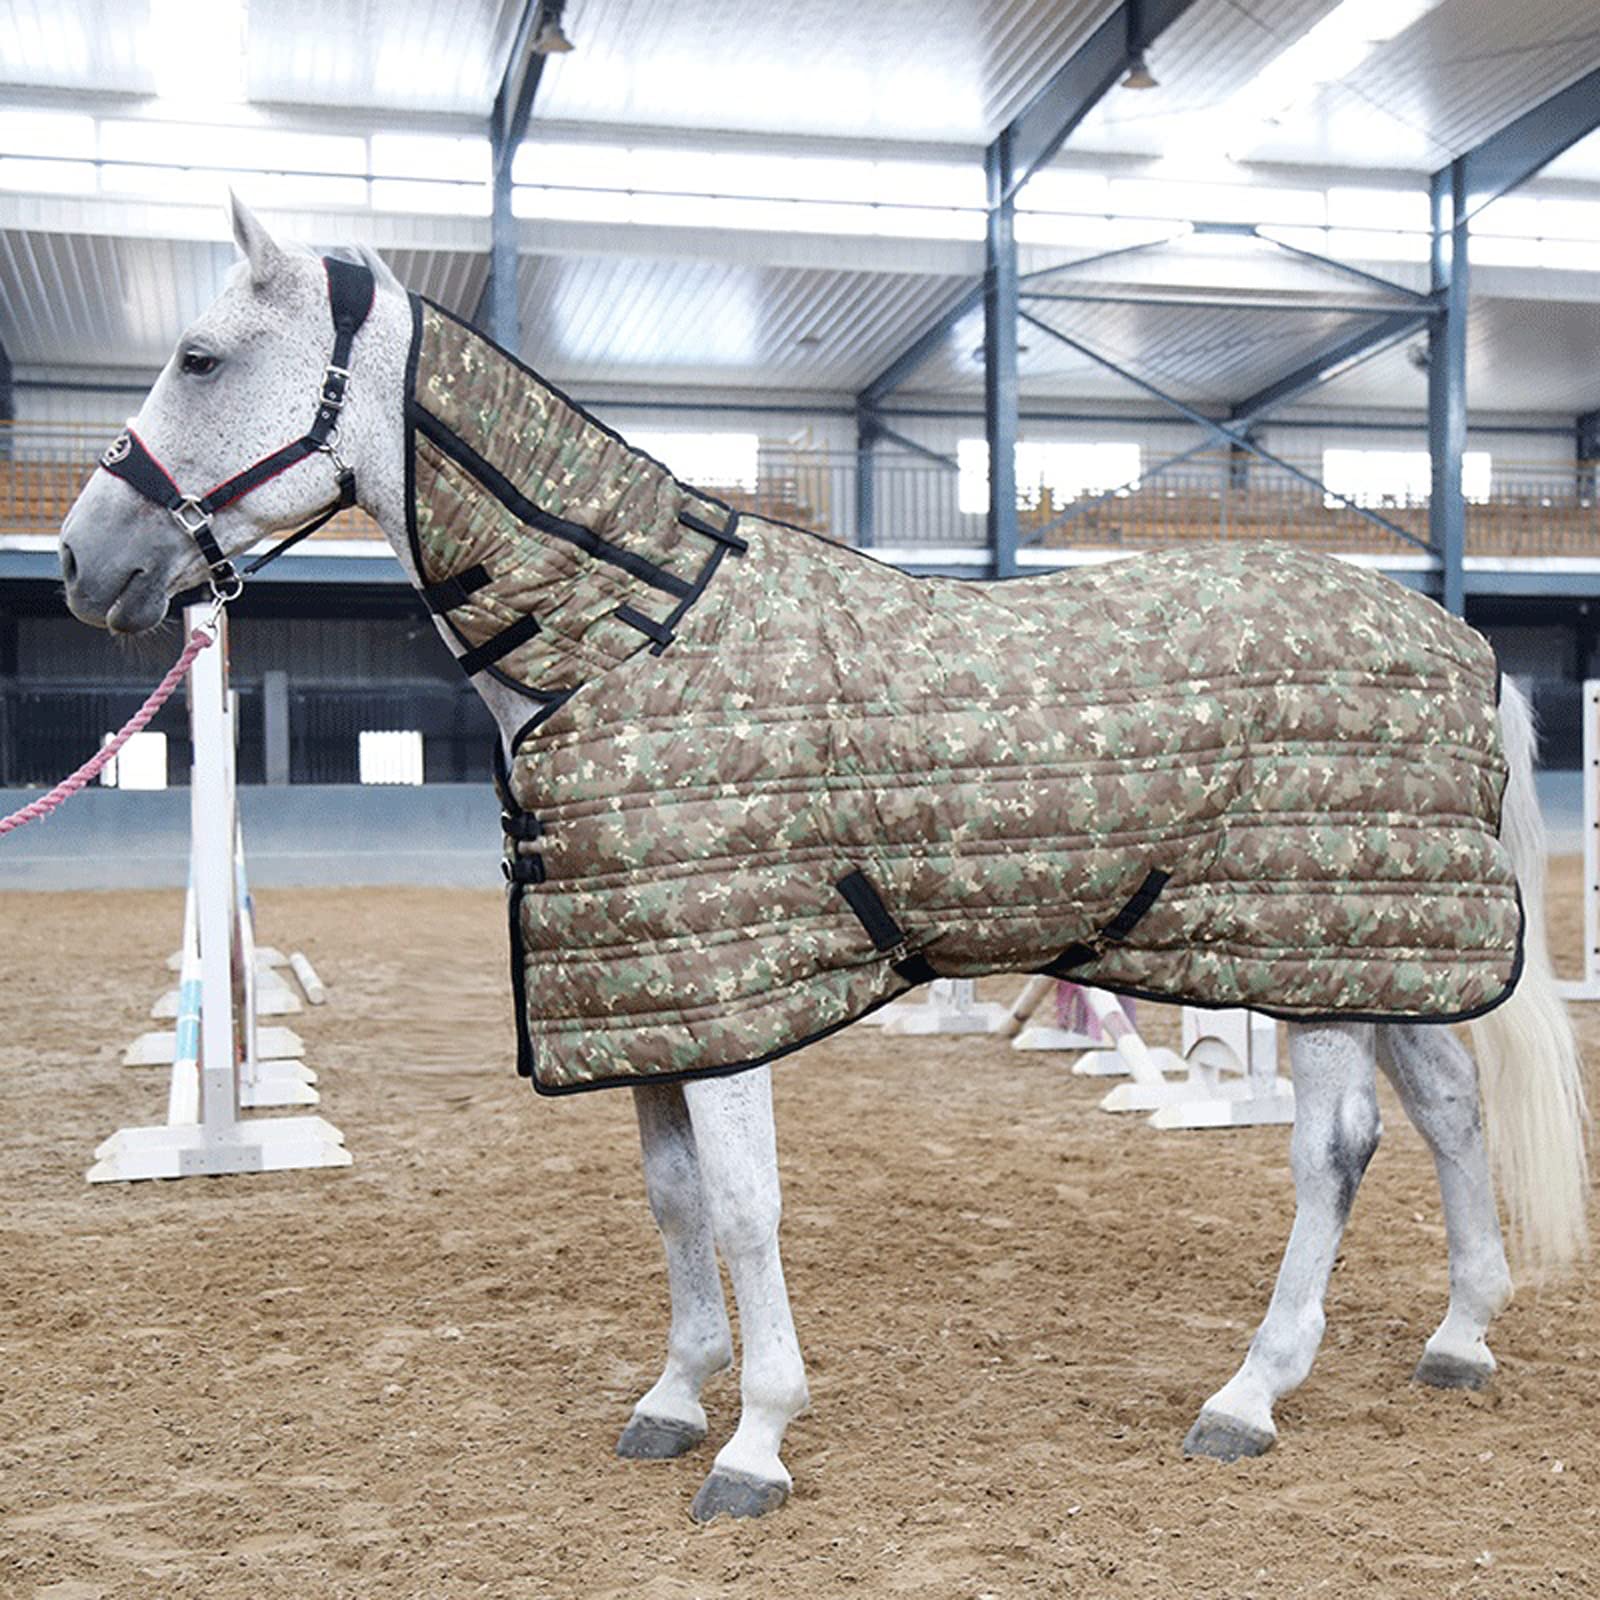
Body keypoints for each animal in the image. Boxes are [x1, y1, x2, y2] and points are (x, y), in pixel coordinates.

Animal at [58, 198, 1590, 1521]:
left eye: (201, 356)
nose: (84, 562)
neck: (630, 638)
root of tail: (1457, 636)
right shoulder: (652, 1003)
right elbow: (674, 1203)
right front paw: (678, 1394)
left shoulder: (728, 1003)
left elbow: (743, 1210)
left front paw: (756, 1441)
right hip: (1379, 947)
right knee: (1451, 1110)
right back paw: (1459, 1334)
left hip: (1312, 951)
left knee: (1337, 1148)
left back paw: (1249, 1394)